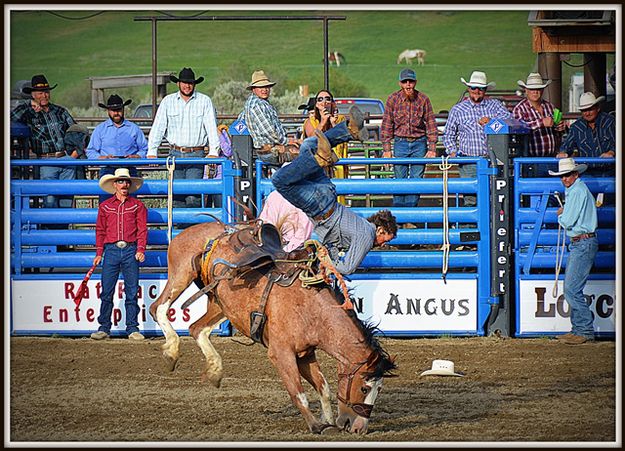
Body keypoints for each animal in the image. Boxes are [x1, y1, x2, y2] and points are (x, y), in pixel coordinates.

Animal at [149, 221, 398, 436]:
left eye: (380, 390)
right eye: (365, 388)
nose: (359, 428)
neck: (311, 309)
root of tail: (190, 230)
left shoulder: (305, 354)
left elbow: (324, 388)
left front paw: (327, 421)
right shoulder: (281, 353)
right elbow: (298, 393)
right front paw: (316, 425)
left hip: (220, 304)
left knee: (196, 328)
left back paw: (214, 370)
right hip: (181, 275)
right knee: (158, 307)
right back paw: (171, 351)